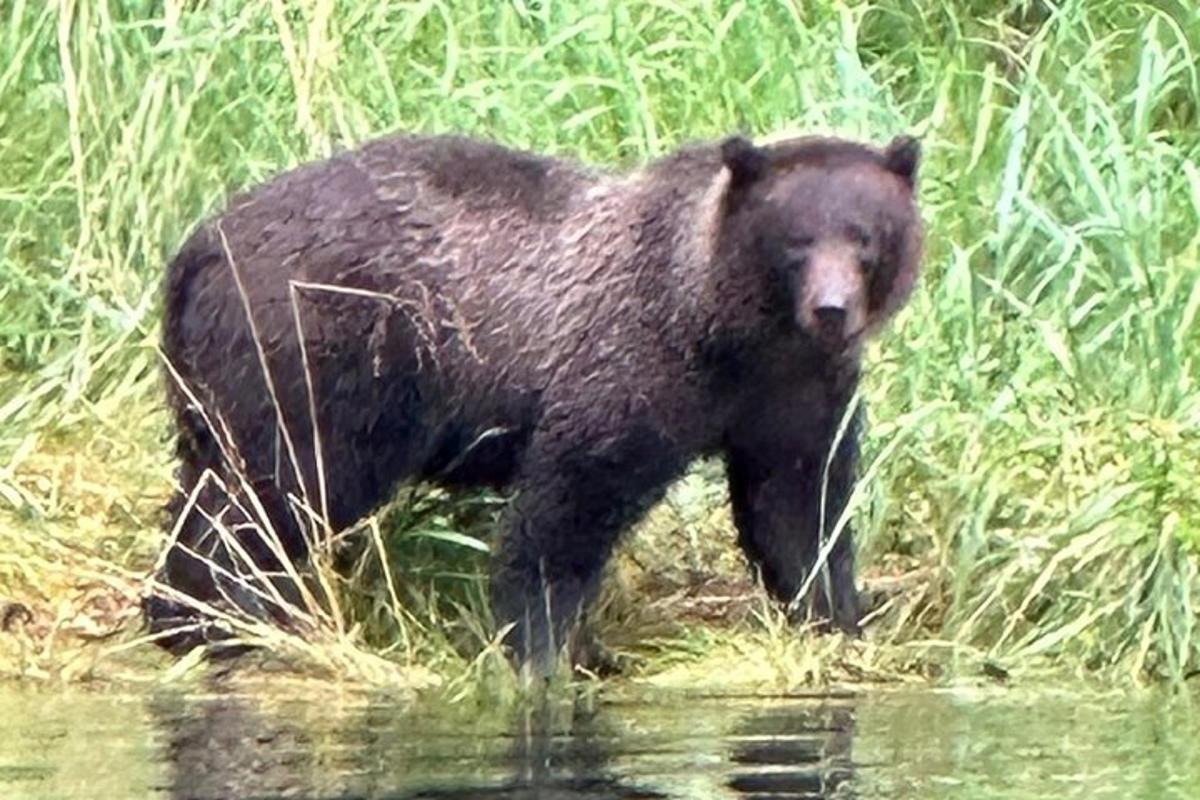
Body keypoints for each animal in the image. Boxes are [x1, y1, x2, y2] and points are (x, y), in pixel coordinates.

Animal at [145, 131, 921, 676]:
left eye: (864, 238)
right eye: (797, 240)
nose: (831, 309)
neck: (727, 329)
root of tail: (199, 245)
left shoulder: (794, 397)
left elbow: (799, 510)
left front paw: (835, 617)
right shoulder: (633, 365)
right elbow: (566, 507)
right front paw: (540, 645)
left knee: (217, 481)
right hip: (324, 352)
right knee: (275, 488)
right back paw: (218, 619)